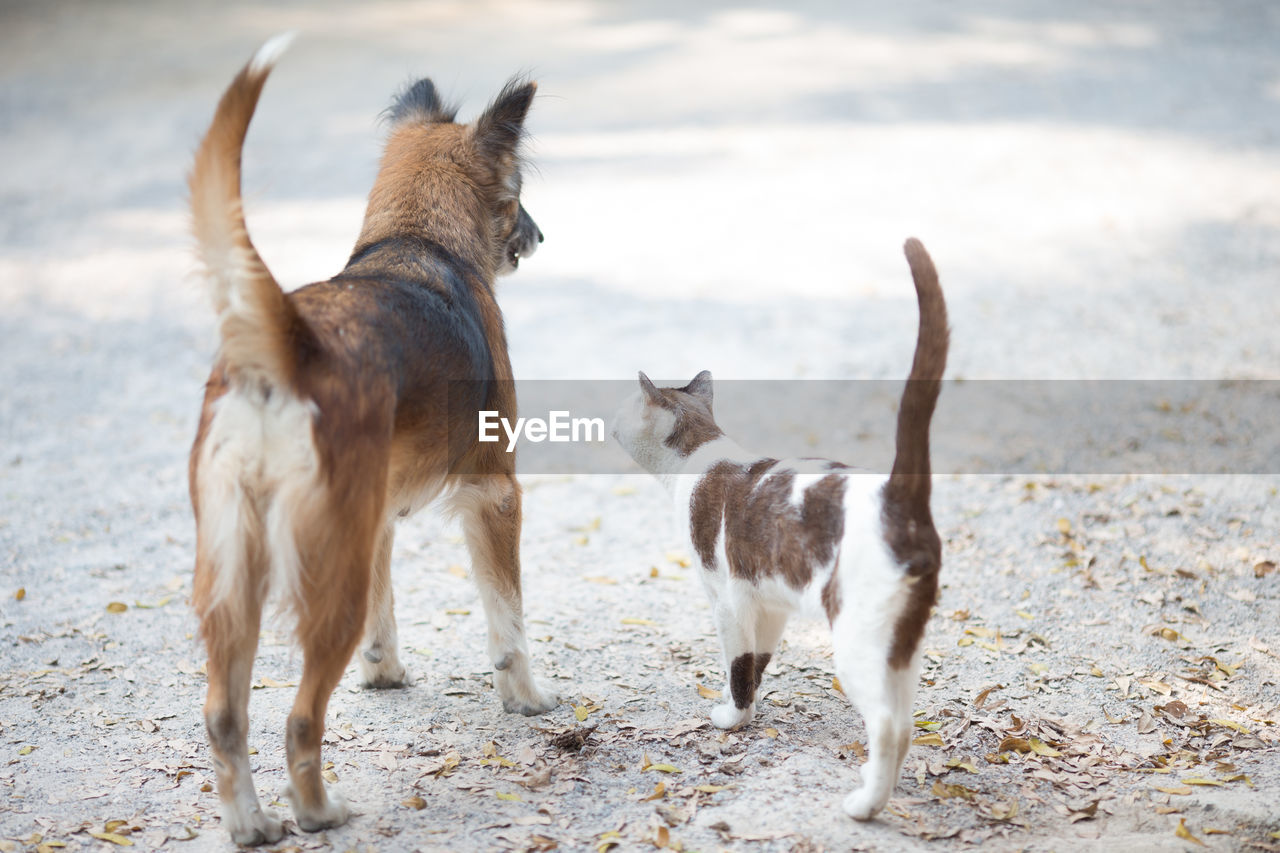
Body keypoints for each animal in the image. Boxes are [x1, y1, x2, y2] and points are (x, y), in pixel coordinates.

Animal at [186, 36, 555, 840]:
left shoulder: (377, 517)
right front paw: (526, 699)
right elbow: (508, 621)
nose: (541, 235)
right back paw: (317, 811)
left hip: (234, 576)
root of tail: (288, 350)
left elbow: (387, 615)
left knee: (225, 715)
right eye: (515, 194)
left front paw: (384, 672)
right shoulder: (495, 495)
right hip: (327, 579)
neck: (416, 237)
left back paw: (252, 824)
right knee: (299, 719)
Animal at [609, 236, 952, 819]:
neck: (698, 456)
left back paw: (864, 806)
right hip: (901, 640)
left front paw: (732, 719)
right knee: (906, 719)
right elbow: (758, 663)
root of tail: (897, 493)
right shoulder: (769, 604)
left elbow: (737, 665)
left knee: (889, 725)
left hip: (857, 640)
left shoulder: (727, 600)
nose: (607, 419)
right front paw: (747, 709)